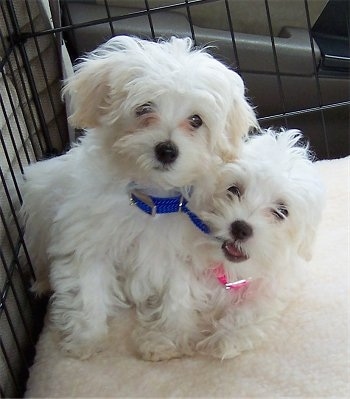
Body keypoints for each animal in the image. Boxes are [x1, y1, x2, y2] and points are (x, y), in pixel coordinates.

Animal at [21, 35, 258, 360]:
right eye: (144, 108)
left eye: (196, 120)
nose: (166, 150)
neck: (151, 199)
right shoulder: (87, 237)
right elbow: (87, 284)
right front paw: (86, 339)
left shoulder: (182, 253)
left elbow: (179, 292)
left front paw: (169, 338)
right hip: (38, 197)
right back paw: (42, 284)